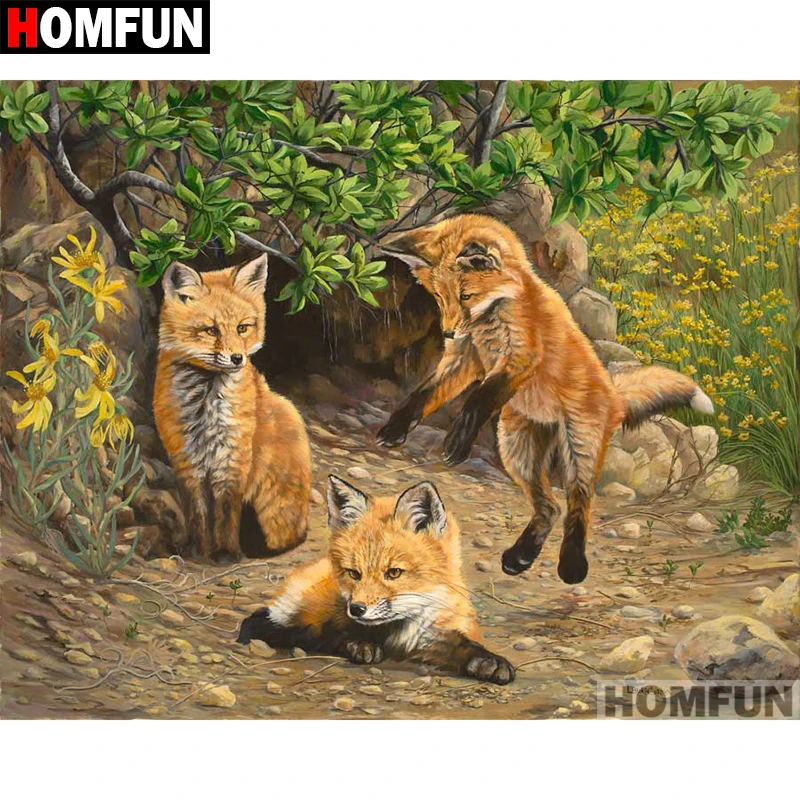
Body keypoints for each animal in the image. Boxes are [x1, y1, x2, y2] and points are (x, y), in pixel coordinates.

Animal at [154, 255, 311, 560]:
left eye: (242, 328)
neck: (204, 406)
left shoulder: (233, 457)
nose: (237, 358)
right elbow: (198, 512)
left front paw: (225, 551)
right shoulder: (185, 457)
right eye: (211, 330)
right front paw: (199, 548)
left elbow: (226, 511)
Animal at [237, 475, 516, 685]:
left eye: (394, 572)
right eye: (353, 573)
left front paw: (487, 661)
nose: (357, 609)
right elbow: (332, 633)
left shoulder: (432, 633)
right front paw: (359, 644)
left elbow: (461, 644)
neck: (398, 632)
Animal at [378, 213, 714, 584]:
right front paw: (394, 429)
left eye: (466, 295)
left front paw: (458, 441)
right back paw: (521, 556)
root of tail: (614, 395)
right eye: (439, 295)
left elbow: (478, 400)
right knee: (550, 507)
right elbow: (423, 394)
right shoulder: (465, 358)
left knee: (578, 504)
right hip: (516, 450)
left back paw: (572, 564)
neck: (495, 316)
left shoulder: (521, 358)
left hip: (579, 449)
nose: (449, 332)